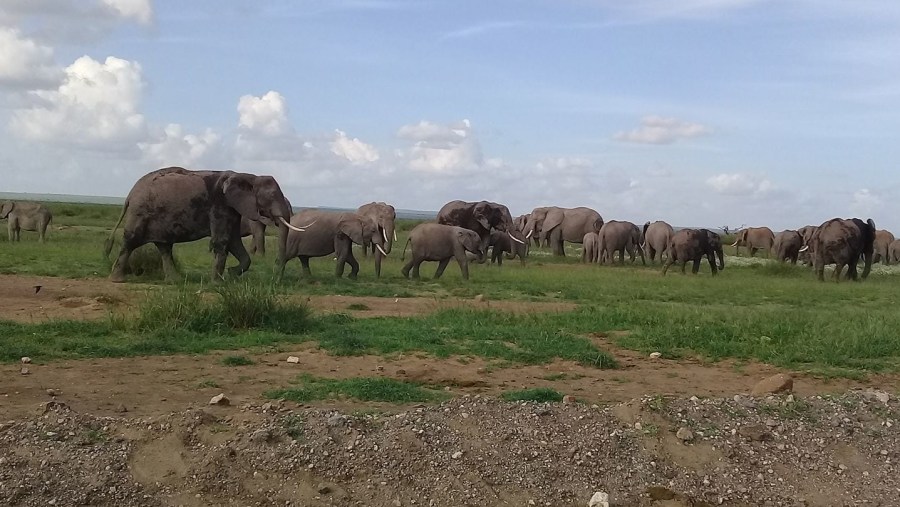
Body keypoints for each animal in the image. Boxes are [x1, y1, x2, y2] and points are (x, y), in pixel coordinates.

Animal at [104, 168, 302, 284]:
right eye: (271, 196)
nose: (276, 280)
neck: (248, 175)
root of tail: (130, 194)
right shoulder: (220, 204)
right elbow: (223, 240)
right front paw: (218, 283)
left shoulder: (232, 208)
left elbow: (233, 241)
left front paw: (230, 274)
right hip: (141, 212)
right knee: (130, 241)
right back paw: (117, 280)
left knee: (164, 247)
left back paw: (175, 281)